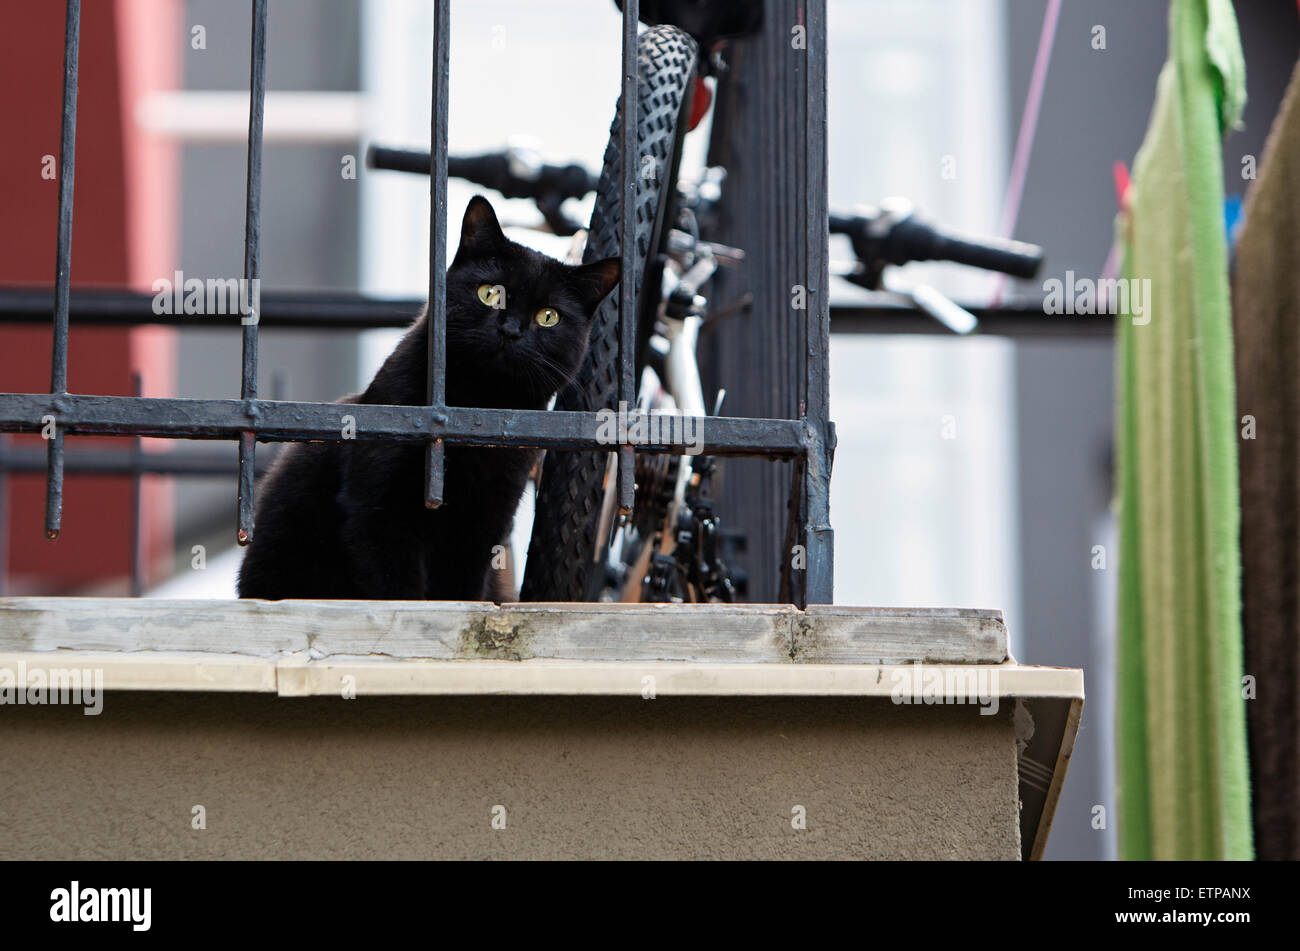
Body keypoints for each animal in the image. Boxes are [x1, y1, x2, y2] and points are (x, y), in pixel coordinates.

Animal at [240, 197, 624, 602]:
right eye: (489, 293)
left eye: (548, 316)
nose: (511, 330)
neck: (475, 405)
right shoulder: (378, 513)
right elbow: (399, 590)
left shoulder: (484, 525)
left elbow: (462, 591)